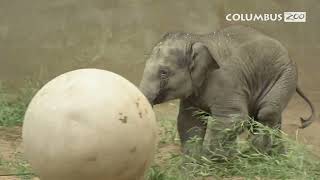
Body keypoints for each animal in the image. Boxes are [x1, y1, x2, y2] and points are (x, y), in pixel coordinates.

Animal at [139, 24, 316, 157]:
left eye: (164, 73)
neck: (198, 39)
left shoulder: (226, 82)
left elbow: (233, 118)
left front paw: (211, 159)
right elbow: (188, 121)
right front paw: (192, 163)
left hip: (285, 75)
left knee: (266, 112)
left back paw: (257, 154)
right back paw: (273, 157)